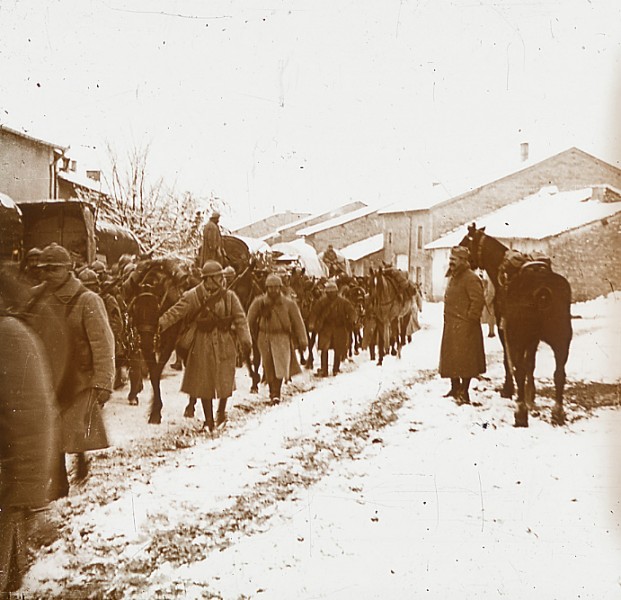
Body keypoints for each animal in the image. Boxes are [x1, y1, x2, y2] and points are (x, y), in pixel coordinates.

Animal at [460, 225, 572, 426]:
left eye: (466, 241)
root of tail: (543, 290)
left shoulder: (504, 330)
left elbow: (509, 362)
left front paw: (508, 389)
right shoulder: (532, 339)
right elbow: (530, 365)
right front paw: (531, 395)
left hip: (519, 337)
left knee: (519, 370)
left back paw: (521, 412)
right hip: (562, 339)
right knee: (559, 374)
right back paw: (557, 412)